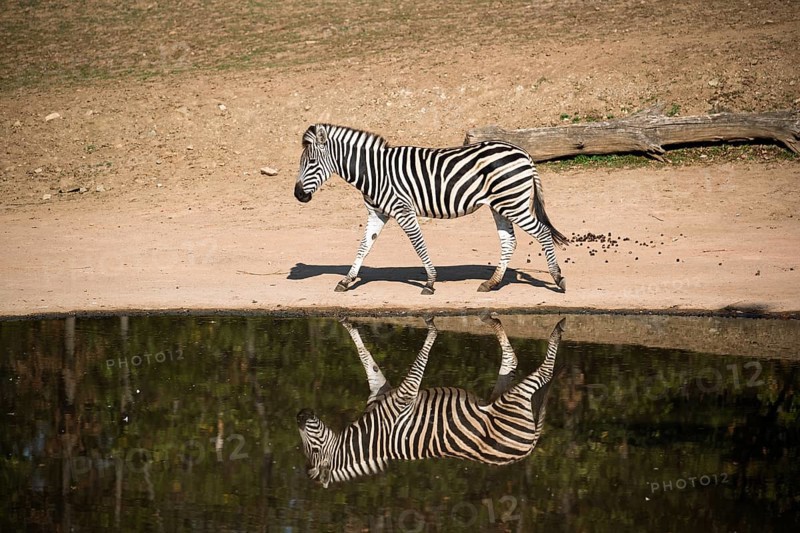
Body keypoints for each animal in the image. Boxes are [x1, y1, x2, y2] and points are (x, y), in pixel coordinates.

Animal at [293, 124, 567, 295]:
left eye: (312, 162)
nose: (298, 195)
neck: (374, 172)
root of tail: (523, 152)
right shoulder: (377, 213)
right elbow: (364, 246)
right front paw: (346, 280)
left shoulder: (402, 209)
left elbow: (418, 244)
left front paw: (430, 282)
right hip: (501, 205)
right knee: (509, 241)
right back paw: (491, 284)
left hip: (513, 203)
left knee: (542, 233)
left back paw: (558, 279)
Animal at [296, 315, 566, 487]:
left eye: (315, 450)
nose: (299, 415)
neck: (372, 435)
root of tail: (527, 450)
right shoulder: (381, 390)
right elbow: (366, 358)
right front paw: (346, 321)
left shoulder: (403, 397)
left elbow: (417, 363)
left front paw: (431, 326)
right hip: (503, 397)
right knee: (513, 361)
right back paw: (494, 321)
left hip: (513, 400)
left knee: (545, 373)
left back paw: (558, 329)